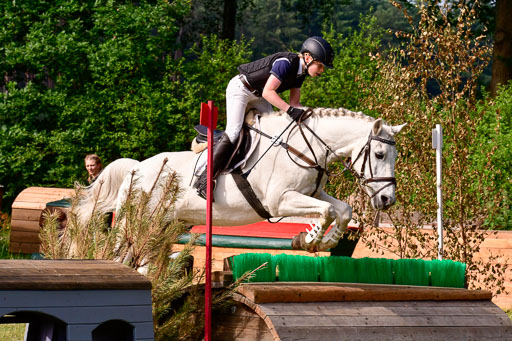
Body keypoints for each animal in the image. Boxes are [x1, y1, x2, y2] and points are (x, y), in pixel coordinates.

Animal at [110, 107, 406, 251]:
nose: (387, 199)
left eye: (395, 156)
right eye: (379, 154)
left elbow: (343, 210)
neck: (307, 146)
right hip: (134, 223)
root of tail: (136, 169)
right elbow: (328, 211)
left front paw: (327, 242)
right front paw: (309, 239)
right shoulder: (280, 201)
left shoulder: (310, 194)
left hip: (164, 226)